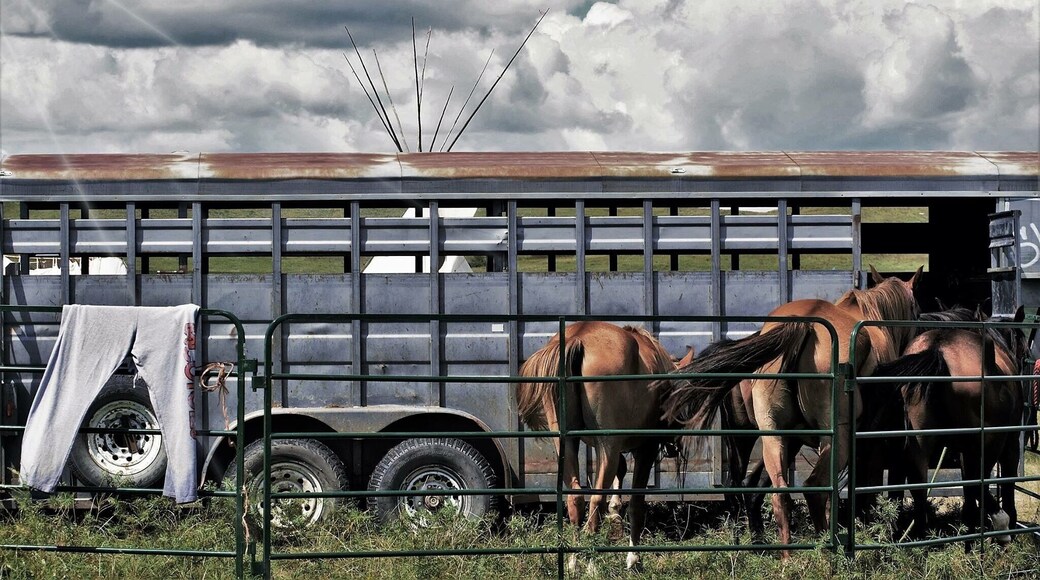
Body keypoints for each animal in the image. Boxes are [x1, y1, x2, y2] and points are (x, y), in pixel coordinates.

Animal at [516, 321, 676, 571]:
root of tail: (578, 337)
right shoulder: (645, 449)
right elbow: (636, 505)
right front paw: (633, 558)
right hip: (606, 446)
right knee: (595, 502)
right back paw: (591, 563)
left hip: (566, 444)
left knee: (576, 499)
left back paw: (573, 561)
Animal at [658, 266, 922, 555]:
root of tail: (801, 324)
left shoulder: (793, 439)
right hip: (835, 440)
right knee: (814, 488)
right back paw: (825, 551)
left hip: (766, 436)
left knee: (771, 492)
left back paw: (778, 554)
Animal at [873, 307, 1027, 544]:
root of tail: (938, 348)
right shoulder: (1008, 443)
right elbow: (1004, 483)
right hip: (984, 444)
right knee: (975, 479)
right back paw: (996, 528)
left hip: (919, 442)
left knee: (918, 484)